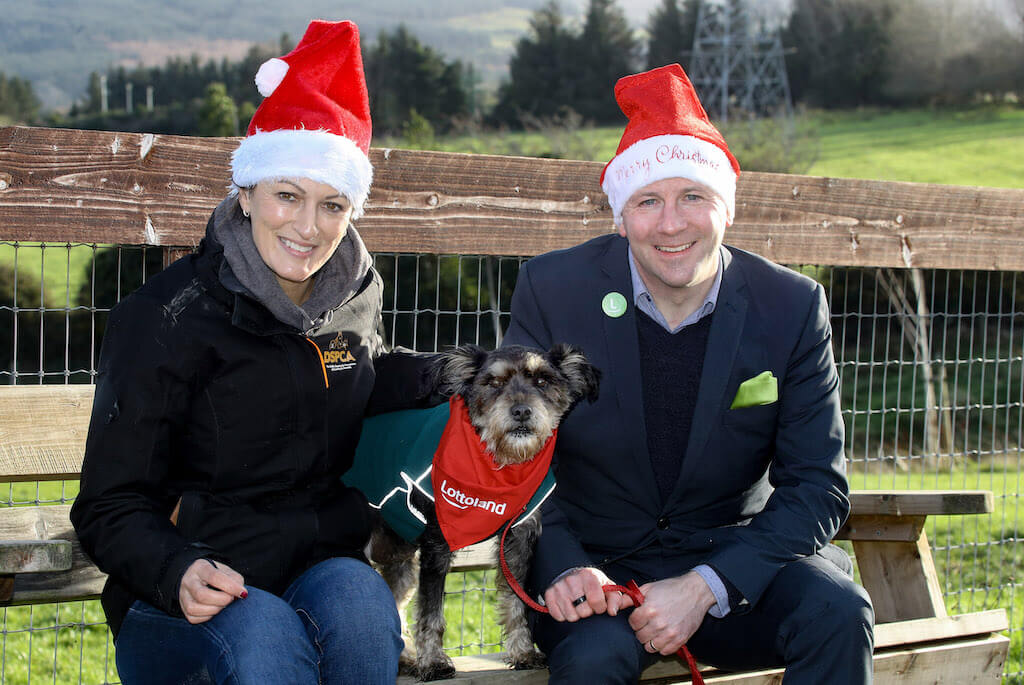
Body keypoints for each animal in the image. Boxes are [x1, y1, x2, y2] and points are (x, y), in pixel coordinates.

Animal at [360, 341, 598, 679]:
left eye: (543, 380)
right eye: (493, 382)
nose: (521, 411)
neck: (498, 465)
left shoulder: (517, 540)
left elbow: (515, 600)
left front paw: (523, 652)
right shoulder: (437, 545)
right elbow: (431, 613)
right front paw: (433, 661)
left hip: (399, 556)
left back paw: (404, 659)